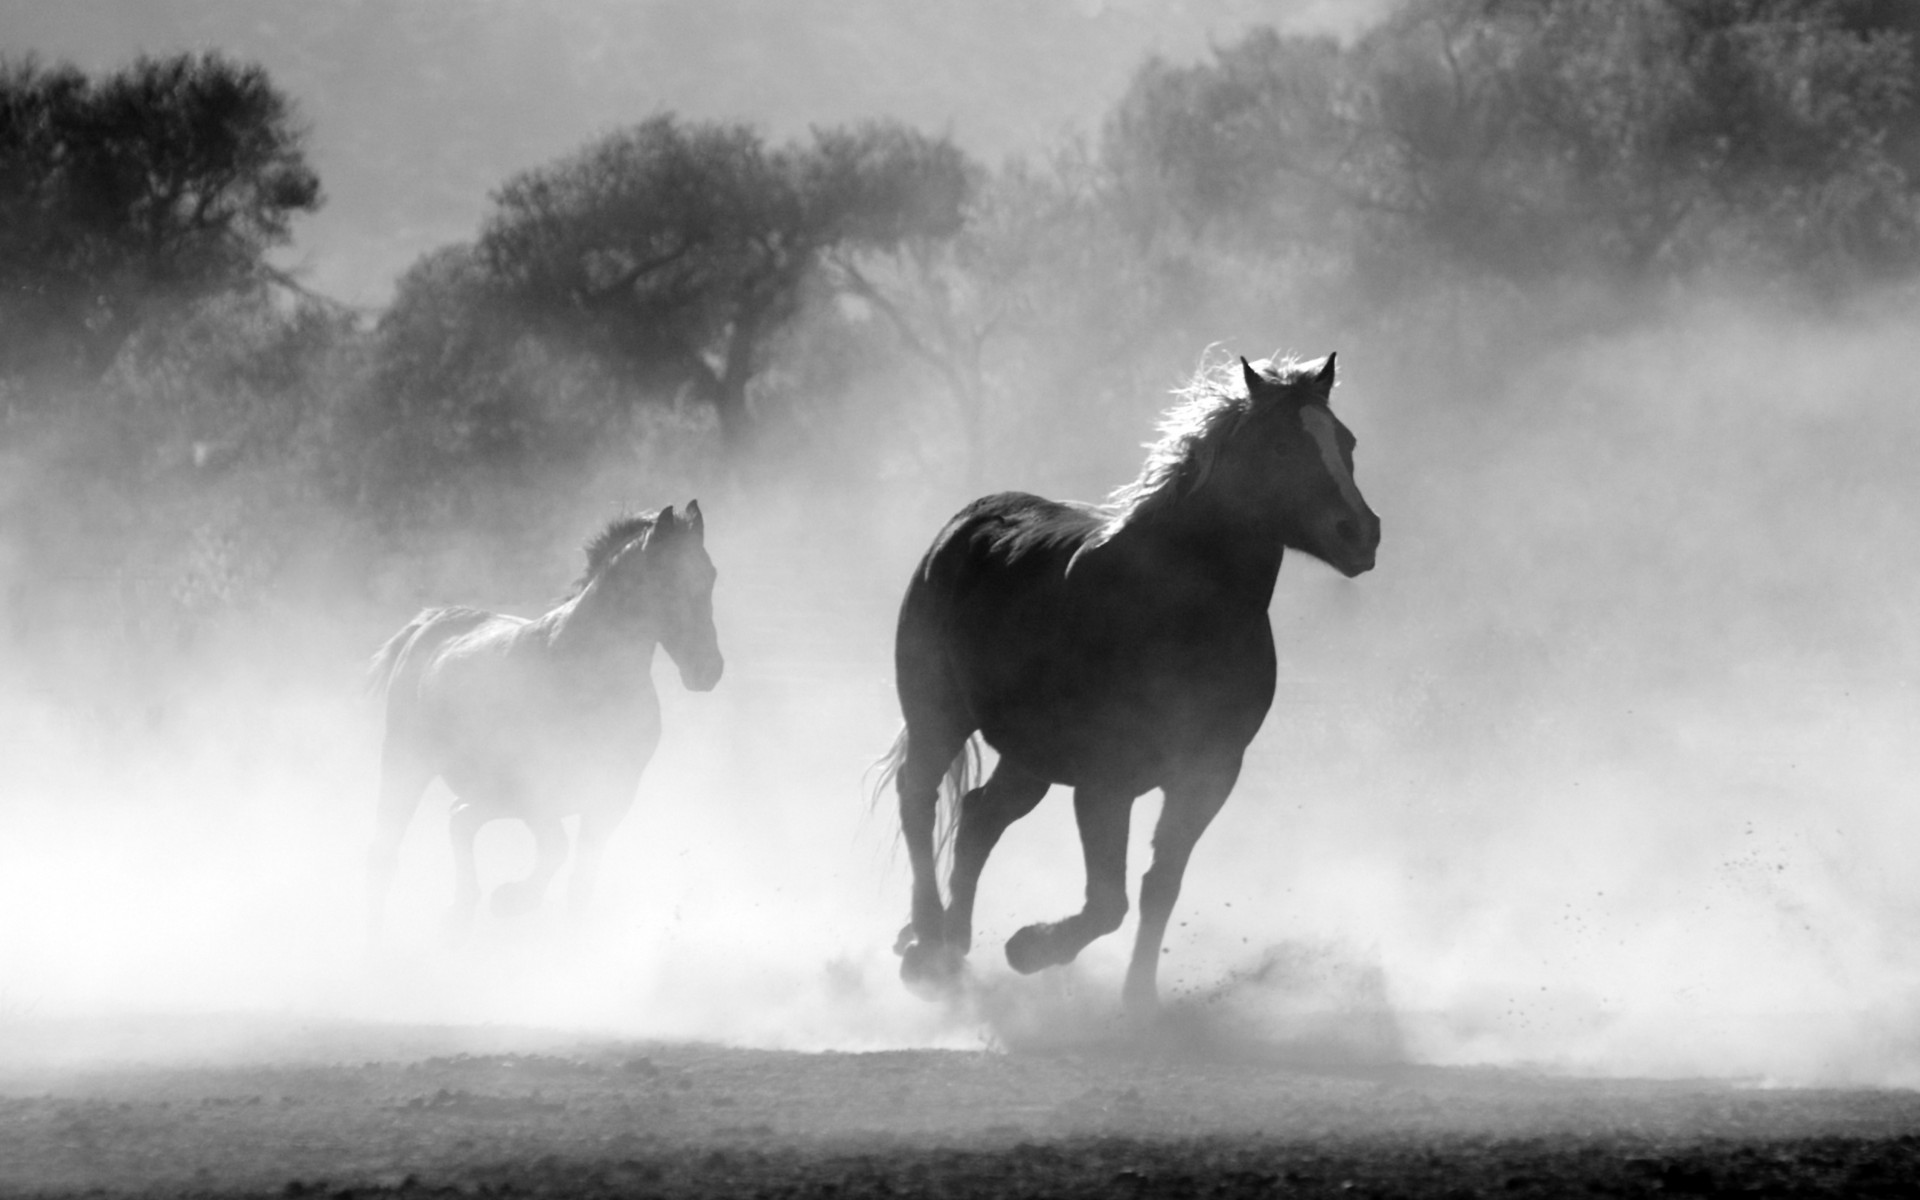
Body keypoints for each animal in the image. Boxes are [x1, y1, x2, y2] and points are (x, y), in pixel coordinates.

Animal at [365, 503, 722, 937]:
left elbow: (580, 881)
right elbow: (556, 849)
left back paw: (460, 915)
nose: (708, 670)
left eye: (710, 575)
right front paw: (512, 900)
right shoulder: (536, 789)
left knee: (459, 819)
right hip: (407, 761)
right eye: (667, 579)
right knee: (388, 848)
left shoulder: (612, 796)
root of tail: (428, 625)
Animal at [880, 352, 1379, 1011]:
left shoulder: (1208, 774)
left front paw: (1138, 1000)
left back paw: (954, 947)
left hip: (1030, 757)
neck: (1177, 612)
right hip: (938, 717)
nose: (1361, 533)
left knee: (979, 816)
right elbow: (1107, 902)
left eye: (1345, 442)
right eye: (1279, 446)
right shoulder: (1105, 781)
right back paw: (929, 946)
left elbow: (1158, 886)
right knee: (918, 800)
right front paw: (1030, 948)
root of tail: (965, 524)